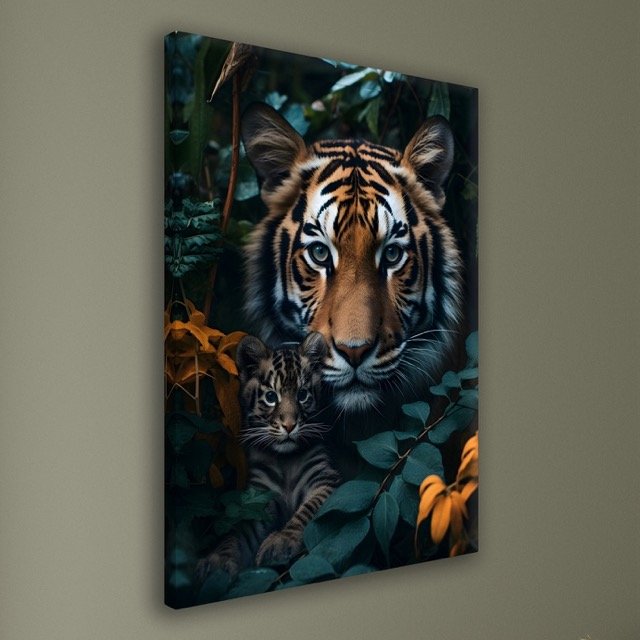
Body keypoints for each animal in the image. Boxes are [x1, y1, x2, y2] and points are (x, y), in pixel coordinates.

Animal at [196, 331, 340, 580]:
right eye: (271, 397)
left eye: (302, 395)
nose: (290, 425)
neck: (285, 460)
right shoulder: (258, 497)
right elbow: (238, 530)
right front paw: (216, 562)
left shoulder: (325, 478)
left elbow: (308, 509)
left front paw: (281, 542)